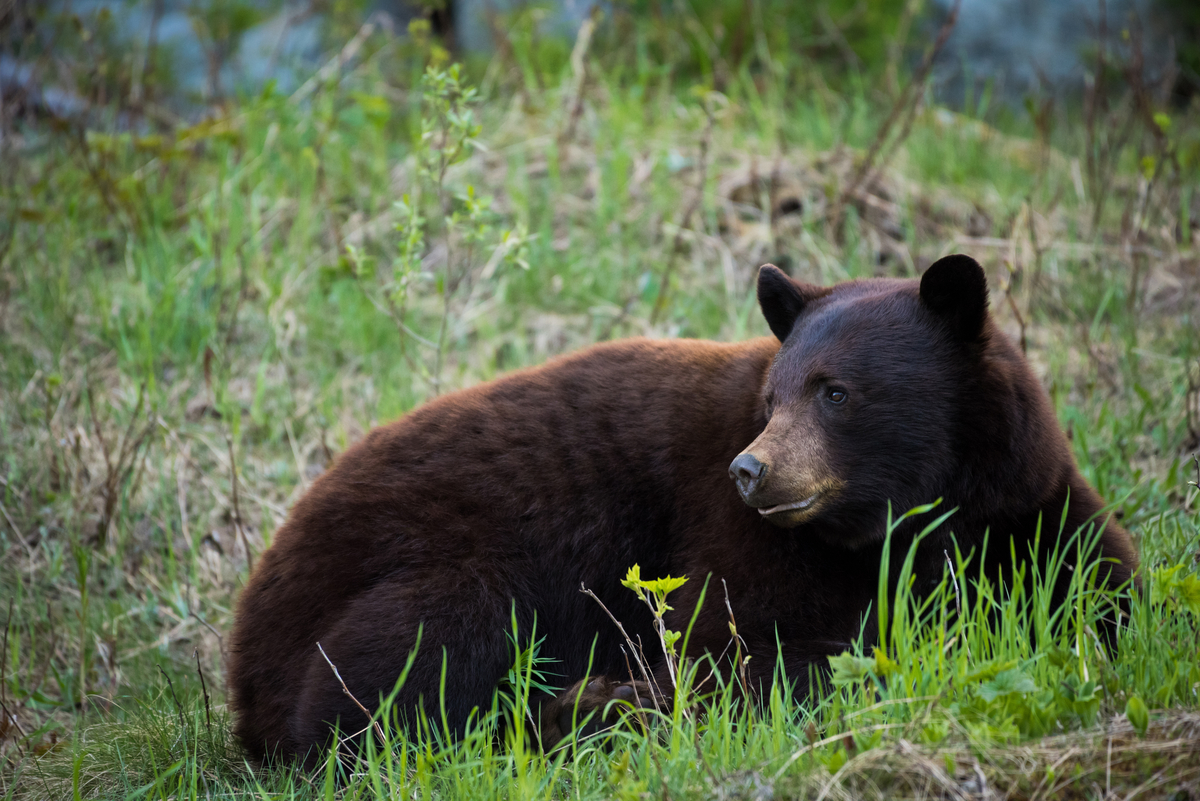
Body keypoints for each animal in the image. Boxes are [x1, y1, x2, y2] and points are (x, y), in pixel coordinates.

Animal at [229, 255, 1137, 762]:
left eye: (836, 391)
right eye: (772, 397)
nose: (750, 468)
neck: (904, 523)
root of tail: (244, 640)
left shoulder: (1026, 506)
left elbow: (1107, 586)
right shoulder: (735, 536)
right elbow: (734, 642)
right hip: (422, 563)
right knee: (390, 680)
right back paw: (567, 712)